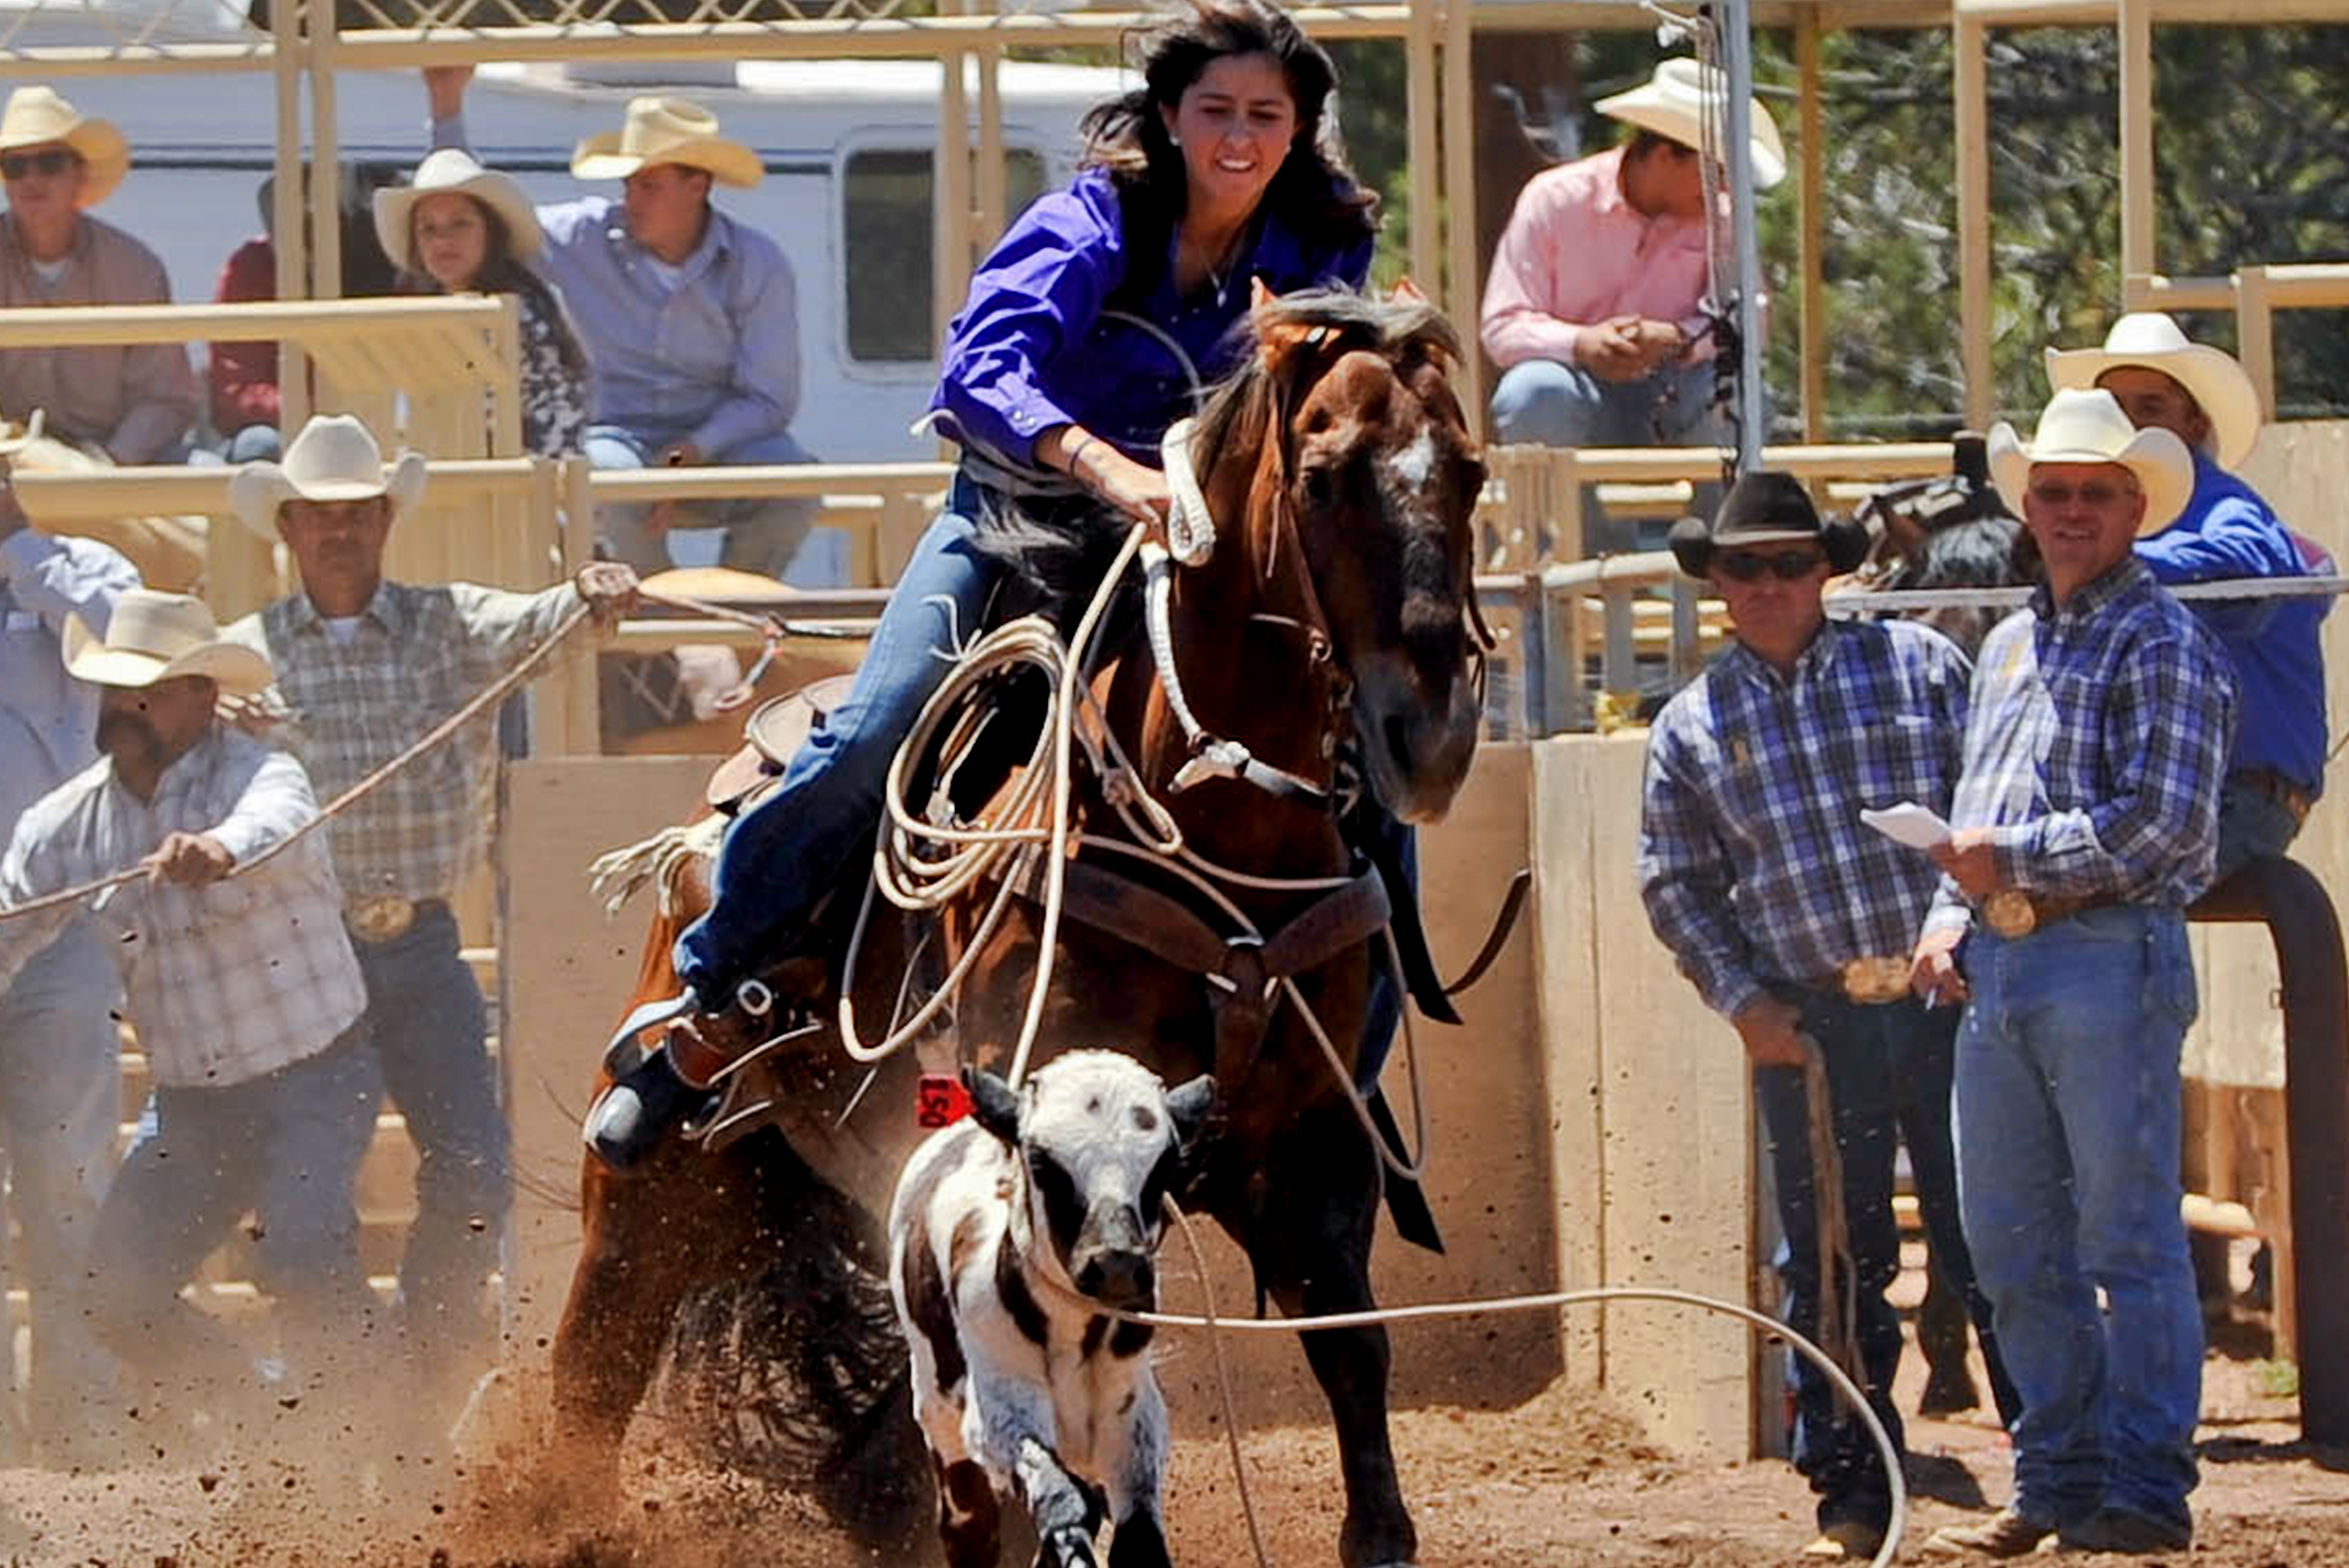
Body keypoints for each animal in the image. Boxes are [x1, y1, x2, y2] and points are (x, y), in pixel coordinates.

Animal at [883, 1051, 1211, 1568]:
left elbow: (1137, 1536)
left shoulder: (1133, 1419)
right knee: (969, 1520)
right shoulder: (1000, 1414)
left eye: (1165, 1166)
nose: (1117, 1264)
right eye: (1041, 1162)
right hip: (939, 1416)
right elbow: (1061, 1499)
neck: (1072, 1333)